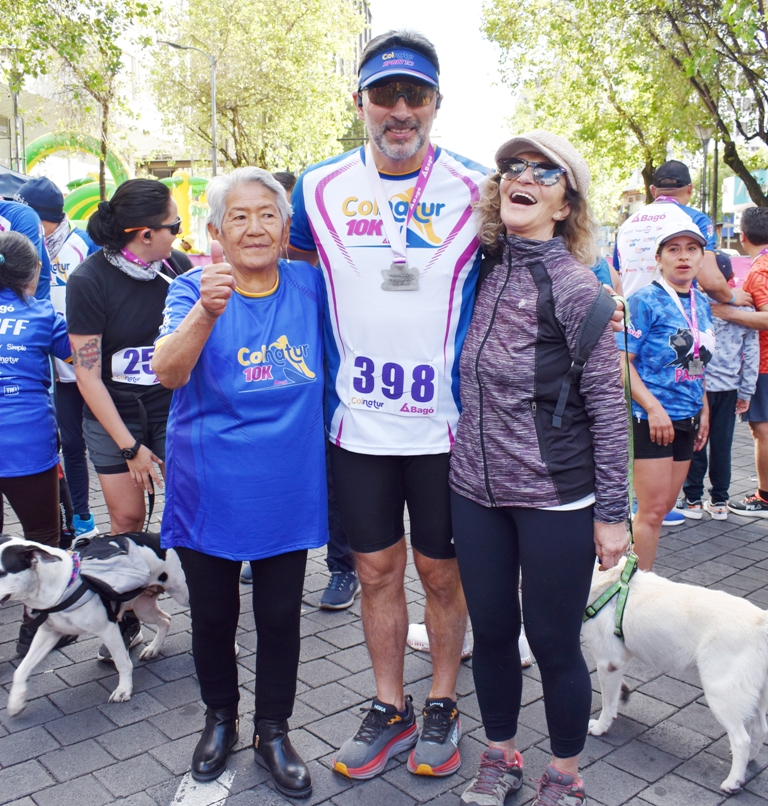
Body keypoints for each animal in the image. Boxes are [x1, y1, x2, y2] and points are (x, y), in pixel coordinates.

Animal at [0, 536, 189, 720]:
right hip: (143, 608)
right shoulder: (49, 633)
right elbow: (22, 669)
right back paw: (153, 649)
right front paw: (16, 702)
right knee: (165, 620)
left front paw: (124, 690)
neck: (60, 584)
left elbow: (123, 663)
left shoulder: (108, 629)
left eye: (2, 572)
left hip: (183, 595)